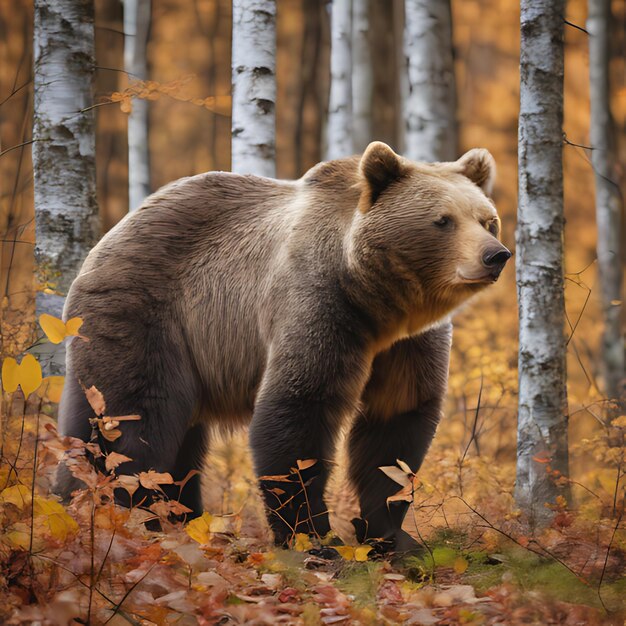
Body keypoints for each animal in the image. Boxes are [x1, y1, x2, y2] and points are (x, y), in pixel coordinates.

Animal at [57, 141, 508, 552]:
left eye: (488, 220)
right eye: (443, 220)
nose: (496, 256)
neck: (376, 301)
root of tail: (110, 237)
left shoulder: (406, 345)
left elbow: (397, 423)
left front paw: (390, 536)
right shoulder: (319, 304)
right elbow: (298, 411)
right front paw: (314, 537)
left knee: (151, 435)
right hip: (144, 317)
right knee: (134, 423)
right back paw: (115, 518)